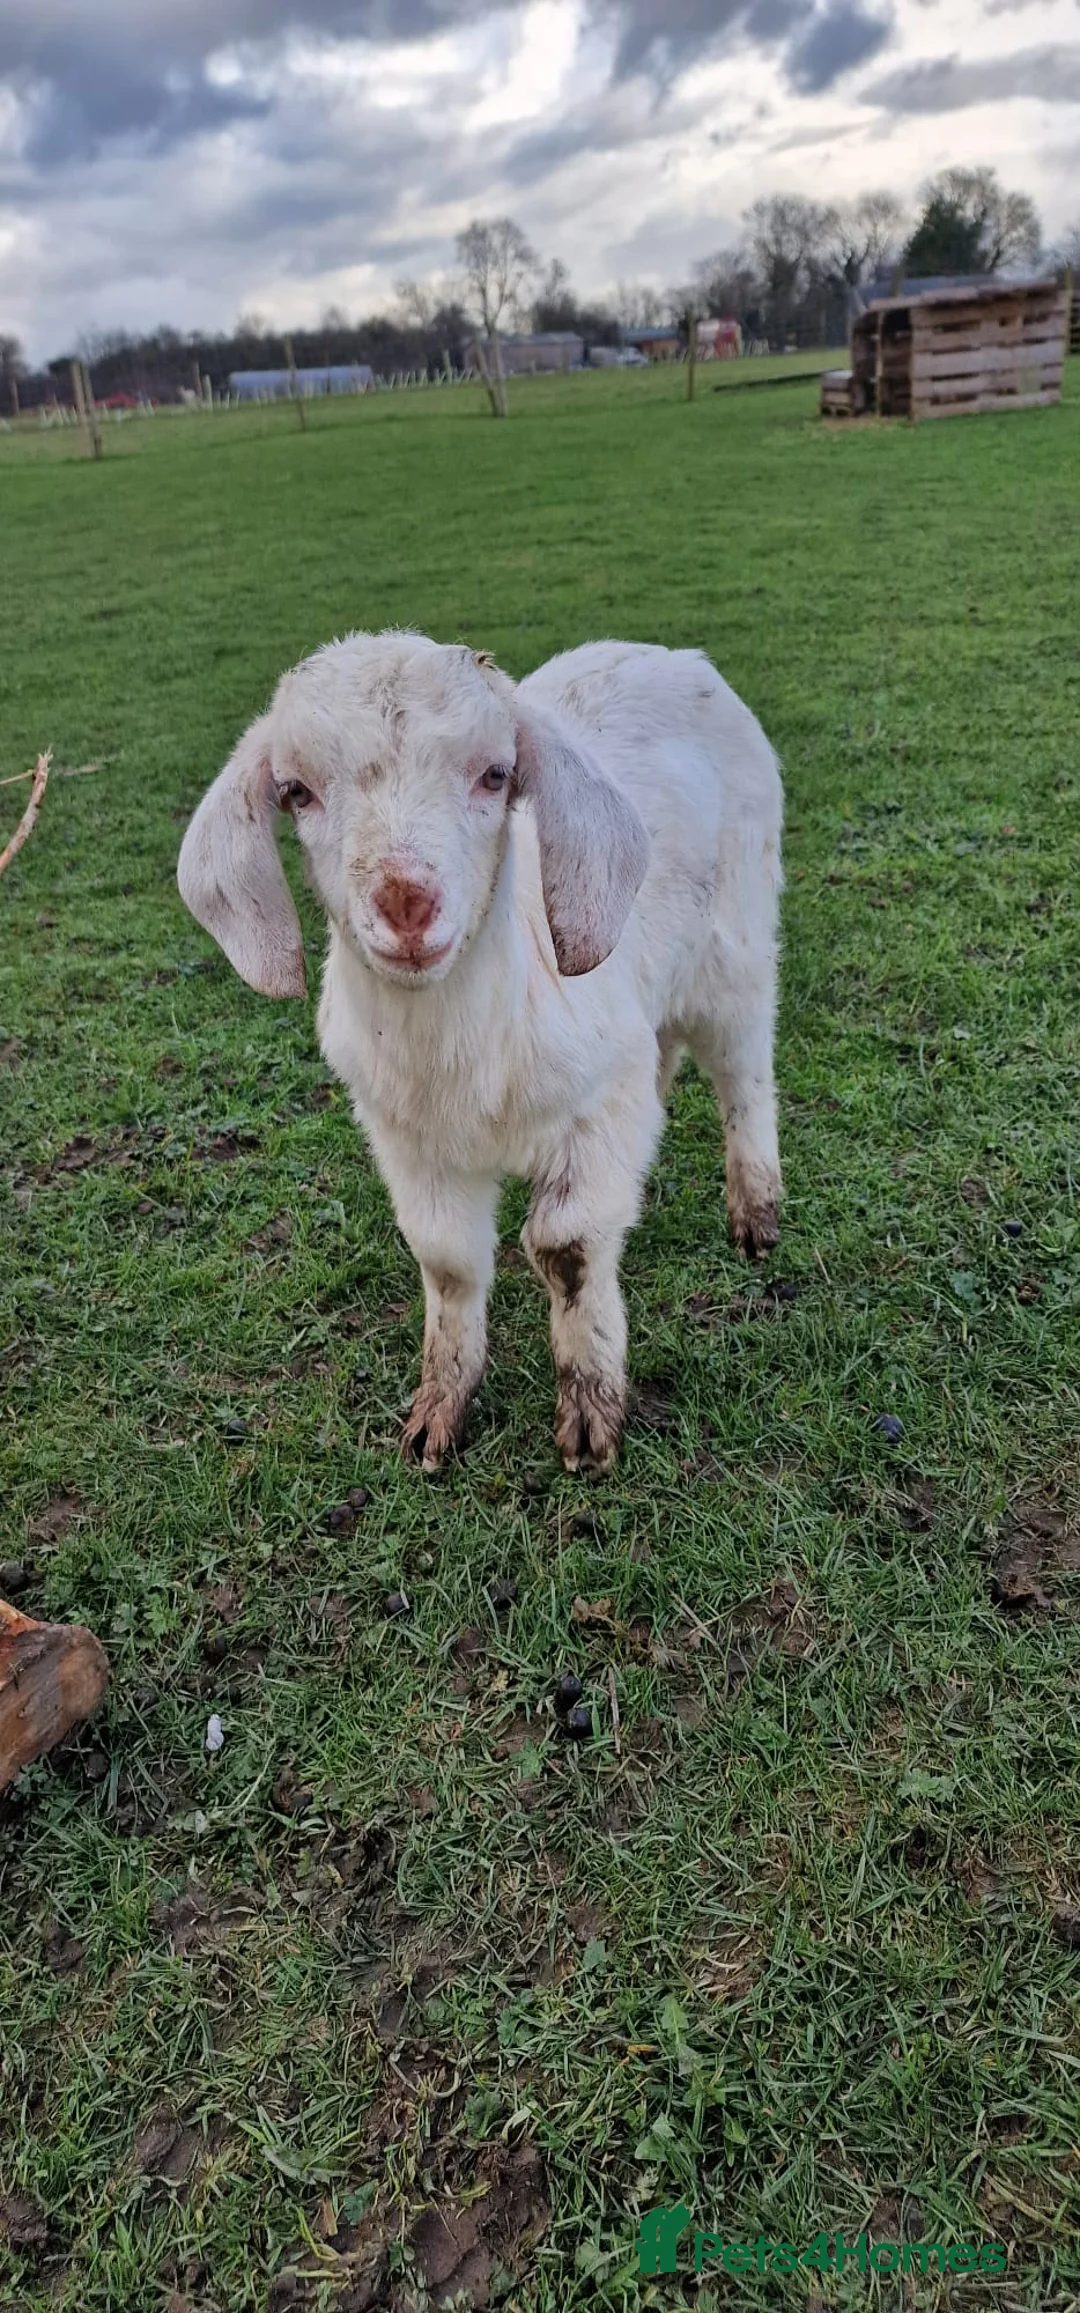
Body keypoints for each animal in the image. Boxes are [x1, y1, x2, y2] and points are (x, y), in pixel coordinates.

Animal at [178, 632, 783, 1473]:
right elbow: (448, 1260)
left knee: (744, 1075)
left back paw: (756, 1210)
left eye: (496, 774)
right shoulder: (408, 1141)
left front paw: (590, 1417)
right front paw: (440, 1411)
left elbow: (566, 1248)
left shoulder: (598, 1104)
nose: (405, 900)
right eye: (296, 790)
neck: (464, 1051)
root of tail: (668, 653)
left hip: (737, 945)